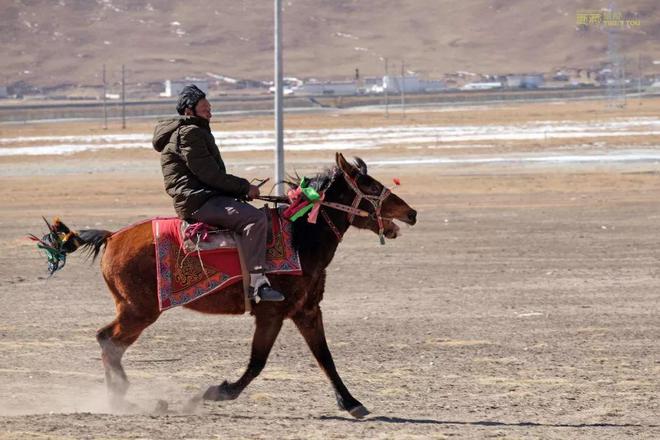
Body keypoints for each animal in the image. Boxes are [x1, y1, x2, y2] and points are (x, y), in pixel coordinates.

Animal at [36, 154, 416, 420]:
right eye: (370, 187)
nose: (411, 213)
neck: (301, 237)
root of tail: (113, 236)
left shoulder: (306, 311)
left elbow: (325, 358)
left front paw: (352, 403)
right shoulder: (271, 313)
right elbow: (257, 363)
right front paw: (214, 392)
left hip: (133, 310)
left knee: (108, 343)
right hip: (139, 311)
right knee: (108, 342)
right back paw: (124, 399)